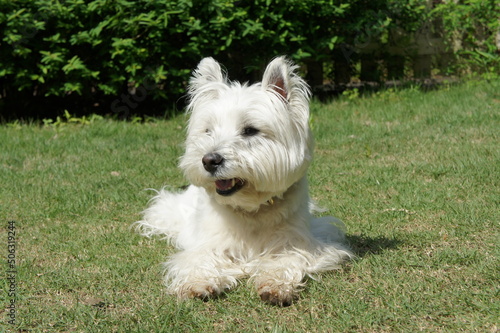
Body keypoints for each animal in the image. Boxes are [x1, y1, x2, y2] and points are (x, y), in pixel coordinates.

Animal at [137, 55, 354, 304]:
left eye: (250, 130)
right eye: (208, 130)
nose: (209, 160)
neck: (251, 209)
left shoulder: (298, 242)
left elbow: (288, 259)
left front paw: (275, 286)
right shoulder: (208, 243)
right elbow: (200, 260)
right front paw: (198, 284)